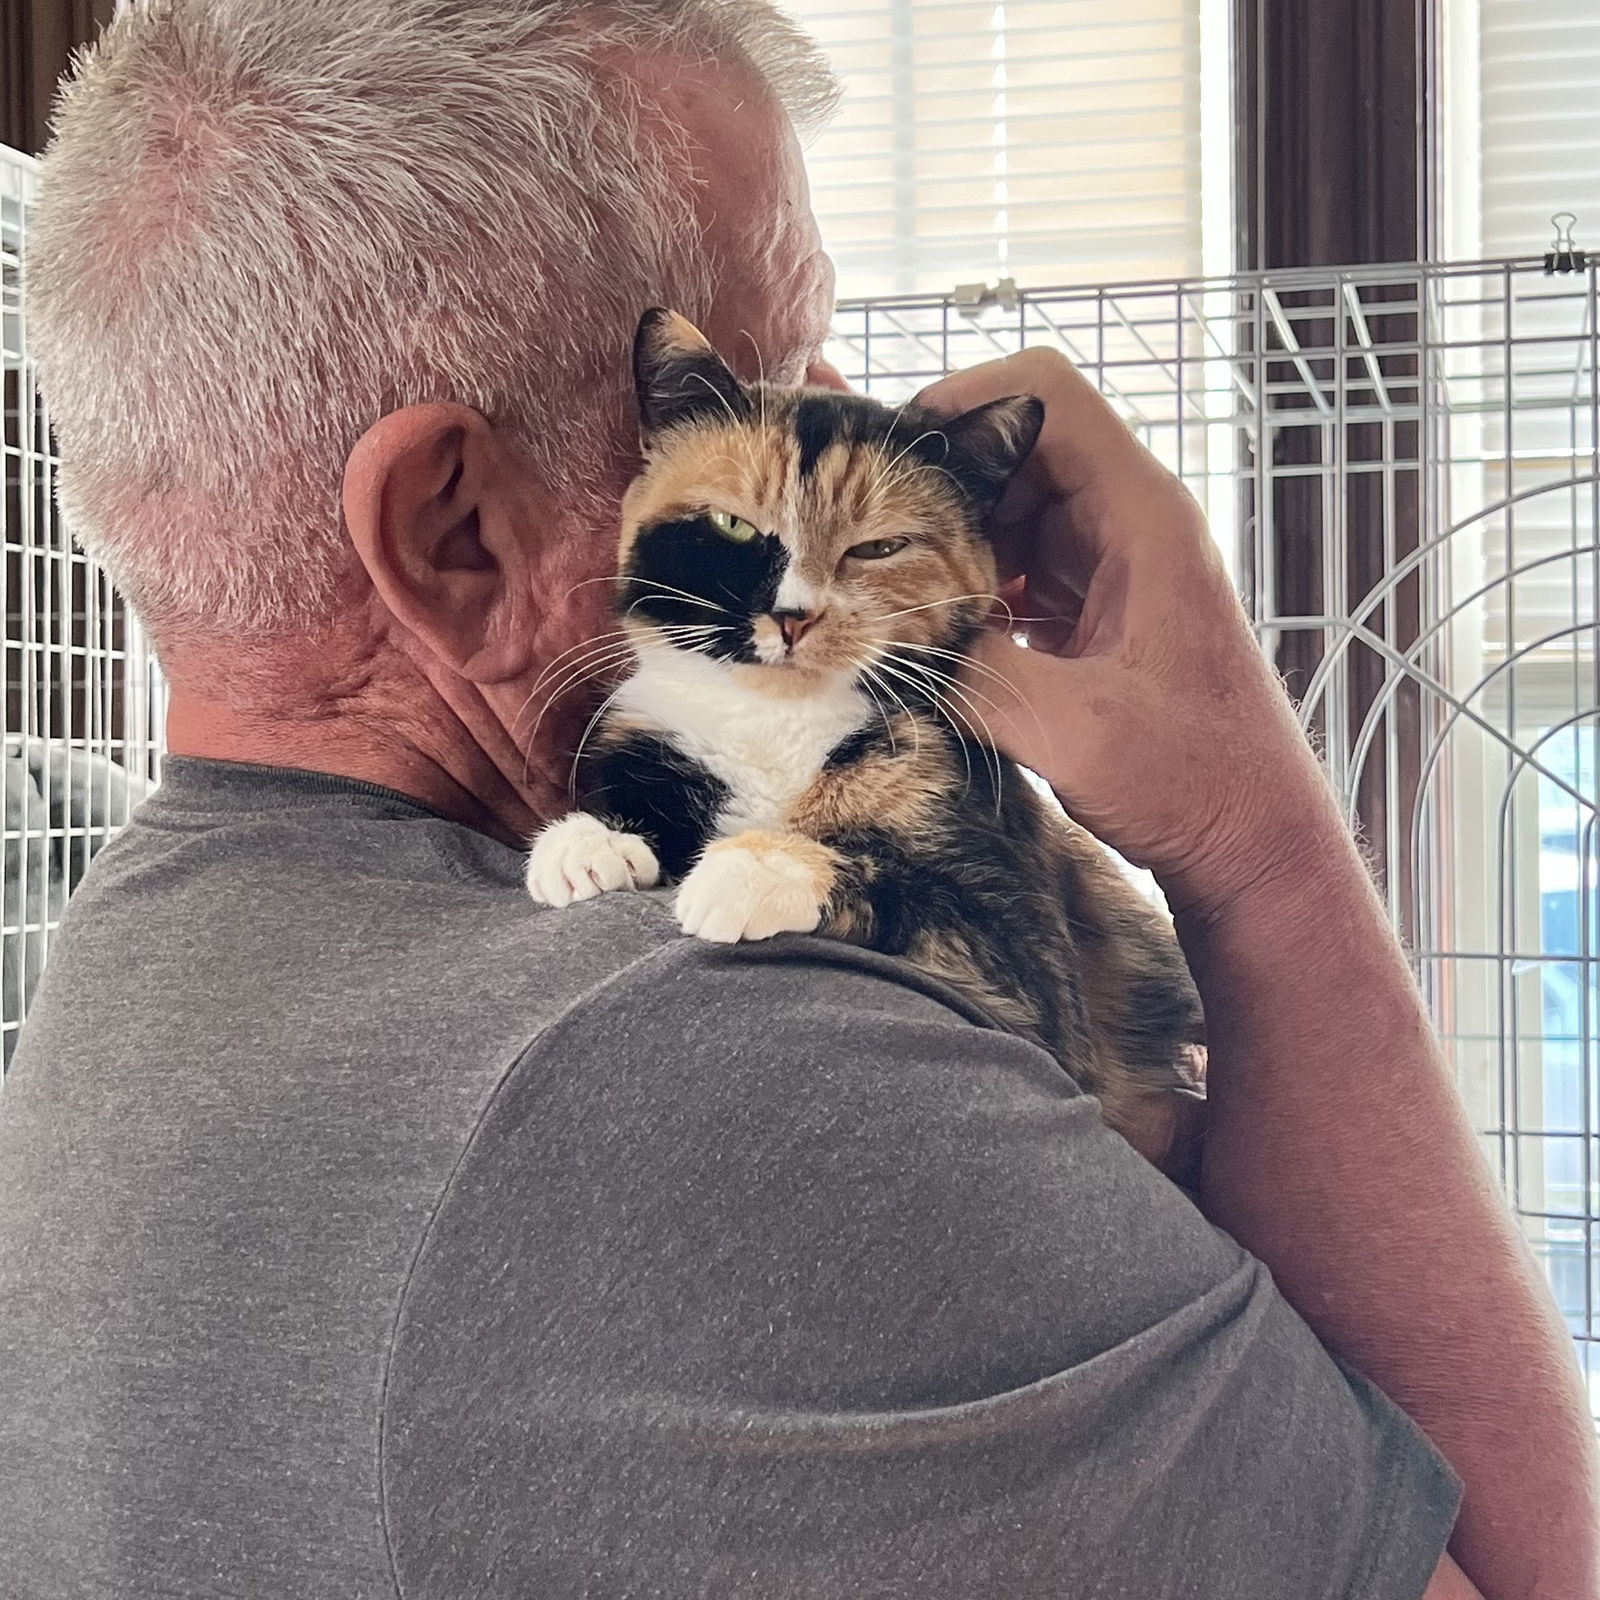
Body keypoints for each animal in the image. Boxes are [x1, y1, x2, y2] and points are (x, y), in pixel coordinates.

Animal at [524, 305, 1203, 1145]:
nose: (792, 615)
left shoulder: (1031, 965)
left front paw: (750, 871)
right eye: (731, 524)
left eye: (878, 547)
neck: (775, 721)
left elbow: (899, 882)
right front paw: (588, 845)